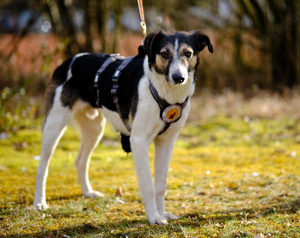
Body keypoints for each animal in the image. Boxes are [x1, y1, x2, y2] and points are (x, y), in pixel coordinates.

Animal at [33, 30, 213, 225]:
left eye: (187, 53)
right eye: (164, 54)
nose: (178, 77)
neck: (164, 90)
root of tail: (68, 61)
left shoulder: (166, 142)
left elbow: (160, 185)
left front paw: (163, 213)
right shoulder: (139, 141)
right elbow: (148, 185)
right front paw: (154, 217)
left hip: (94, 129)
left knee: (80, 160)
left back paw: (88, 192)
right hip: (54, 124)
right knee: (43, 165)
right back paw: (39, 202)